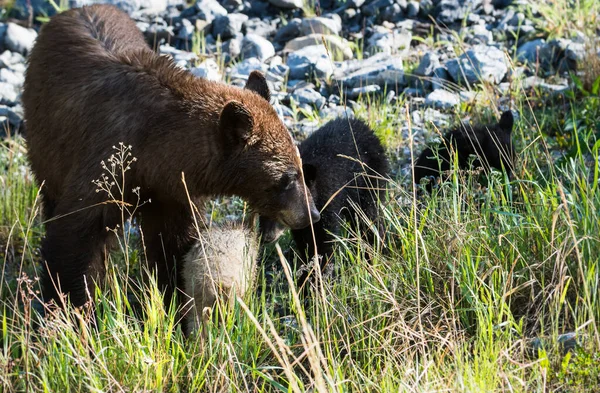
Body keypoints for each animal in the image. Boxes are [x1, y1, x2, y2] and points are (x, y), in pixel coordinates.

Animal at [22, 4, 318, 308]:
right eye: (286, 177)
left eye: (300, 168)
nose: (312, 214)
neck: (154, 151)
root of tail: (78, 9)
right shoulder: (105, 161)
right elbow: (74, 237)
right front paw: (72, 305)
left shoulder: (172, 191)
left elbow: (172, 245)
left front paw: (173, 298)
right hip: (44, 139)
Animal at [260, 118, 392, 290]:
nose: (266, 237)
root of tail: (363, 125)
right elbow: (305, 243)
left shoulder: (327, 201)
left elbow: (322, 242)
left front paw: (316, 282)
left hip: (369, 180)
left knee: (368, 218)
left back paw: (374, 251)